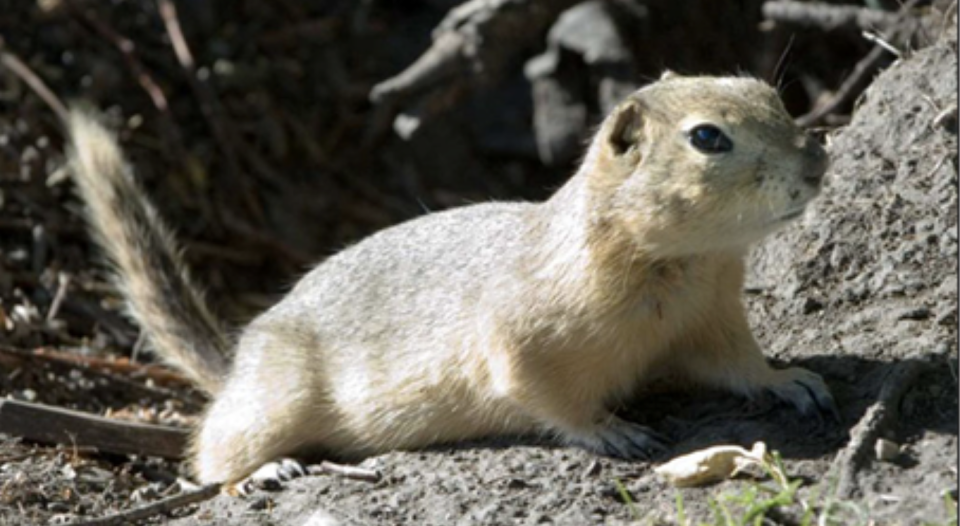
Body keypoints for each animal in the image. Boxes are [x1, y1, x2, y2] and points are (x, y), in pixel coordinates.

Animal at [65, 73, 835, 486]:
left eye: (769, 92)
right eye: (707, 137)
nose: (817, 160)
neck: (682, 266)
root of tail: (235, 364)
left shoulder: (712, 319)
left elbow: (737, 366)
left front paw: (788, 380)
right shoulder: (522, 339)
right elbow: (542, 393)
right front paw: (610, 431)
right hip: (272, 403)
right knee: (210, 452)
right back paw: (263, 471)